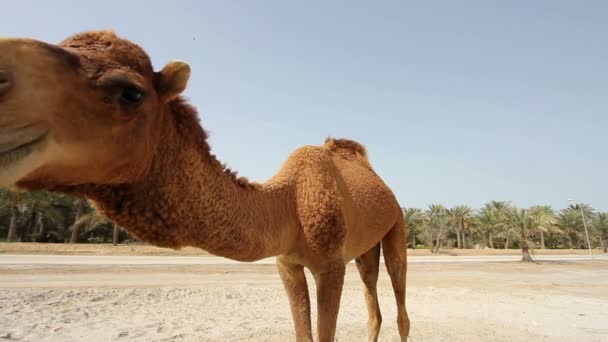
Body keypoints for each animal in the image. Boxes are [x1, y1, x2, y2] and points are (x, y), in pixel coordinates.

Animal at [0, 30, 410, 340]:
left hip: (396, 227)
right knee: (373, 305)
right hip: (363, 248)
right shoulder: (287, 265)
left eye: (131, 92)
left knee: (400, 301)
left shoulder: (329, 265)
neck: (288, 202)